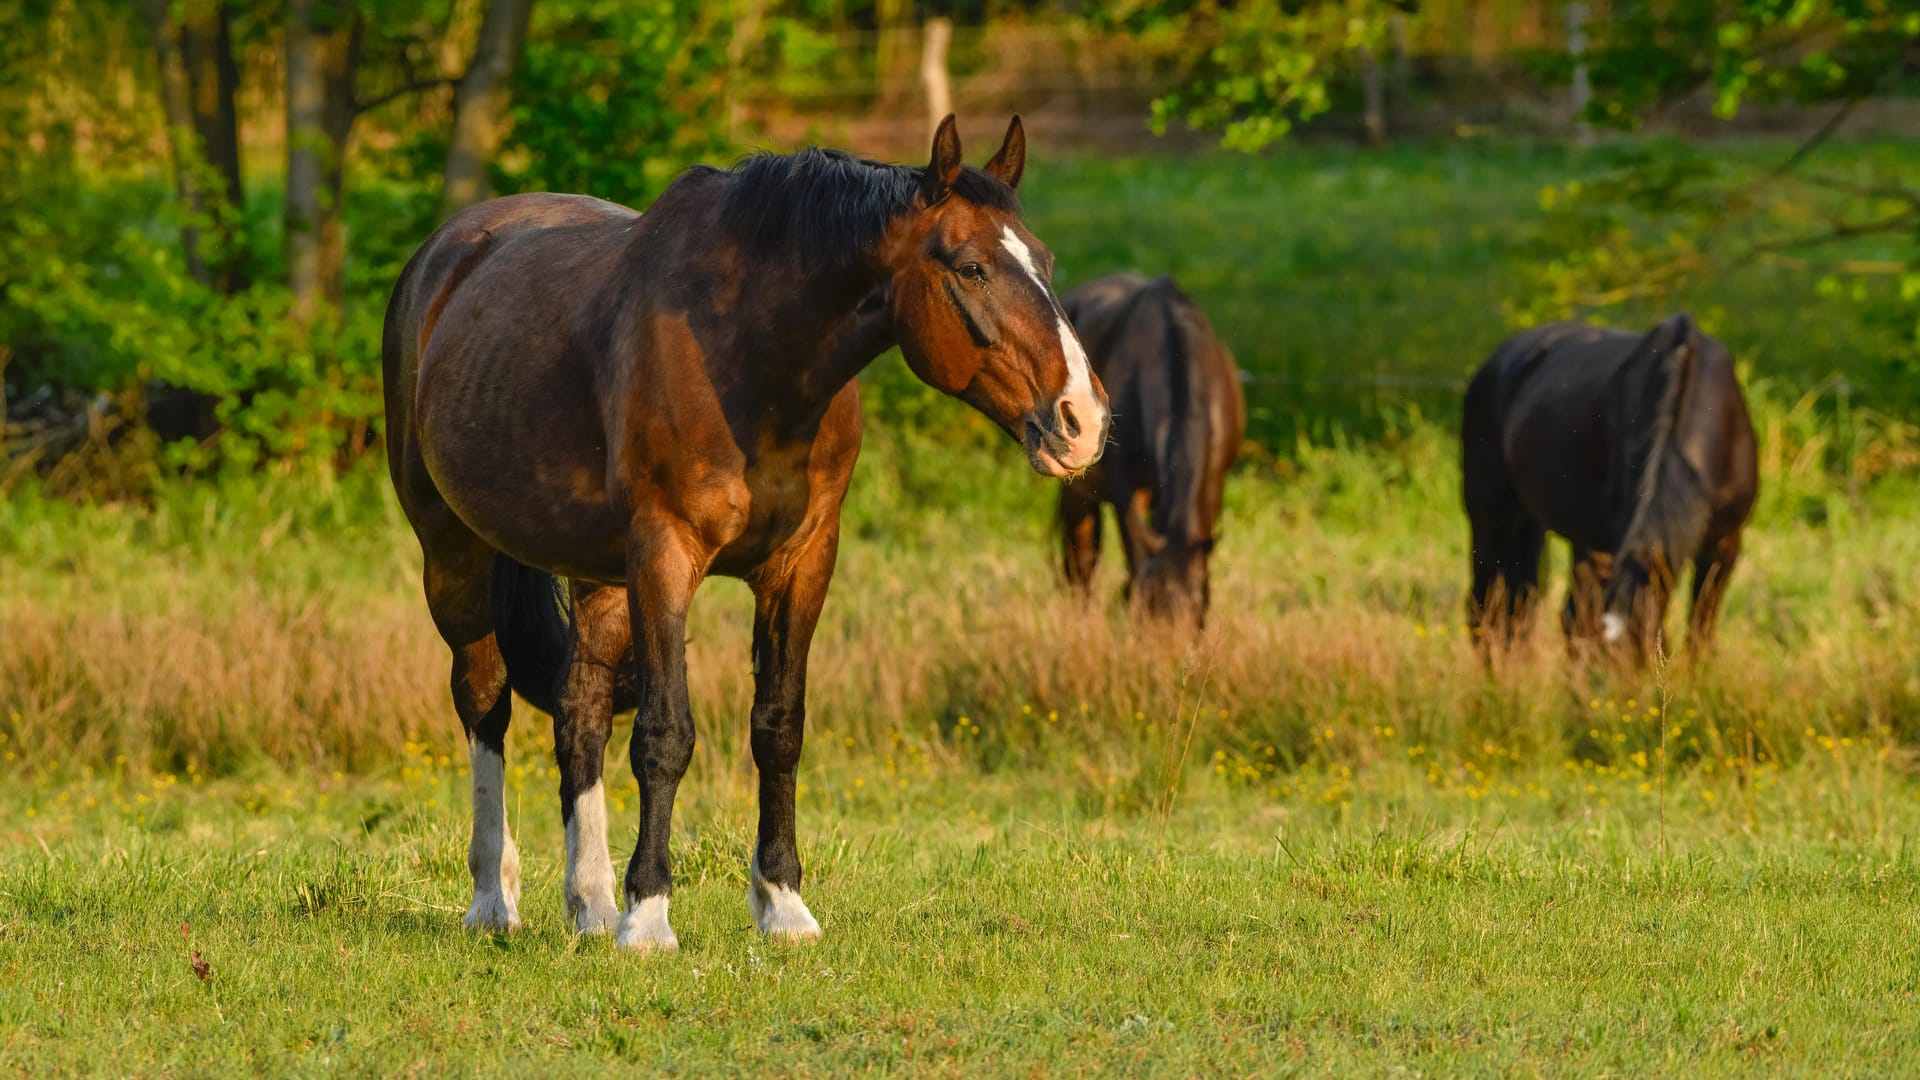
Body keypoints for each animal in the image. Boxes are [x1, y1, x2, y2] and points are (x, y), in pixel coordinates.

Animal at [382, 113, 1113, 945]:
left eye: (1045, 263)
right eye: (971, 267)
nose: (1083, 421)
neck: (751, 358)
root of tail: (444, 255)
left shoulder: (803, 563)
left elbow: (778, 728)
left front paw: (783, 903)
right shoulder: (664, 555)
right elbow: (665, 735)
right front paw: (650, 916)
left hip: (597, 576)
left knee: (580, 715)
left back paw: (590, 903)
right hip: (453, 551)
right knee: (484, 699)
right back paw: (494, 900)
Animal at [1052, 270, 1244, 622]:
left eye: (1198, 614)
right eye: (1147, 613)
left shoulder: (1212, 484)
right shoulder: (1127, 490)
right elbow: (1134, 556)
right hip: (1078, 494)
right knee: (1082, 562)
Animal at [1459, 311, 1758, 661]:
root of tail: (1497, 360)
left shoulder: (1725, 542)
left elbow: (1701, 628)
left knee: (1529, 609)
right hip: (1490, 519)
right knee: (1487, 607)